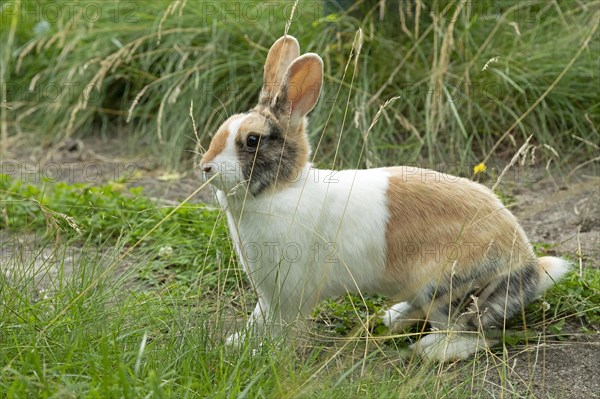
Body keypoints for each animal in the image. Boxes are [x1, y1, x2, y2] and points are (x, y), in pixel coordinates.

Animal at [199, 36, 568, 362]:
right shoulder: (268, 294)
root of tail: (529, 268)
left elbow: (282, 328)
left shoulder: (290, 293)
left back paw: (430, 351)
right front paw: (238, 343)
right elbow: (259, 318)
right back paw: (392, 317)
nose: (206, 167)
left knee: (475, 334)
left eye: (252, 140)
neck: (282, 190)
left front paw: (264, 354)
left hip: (445, 287)